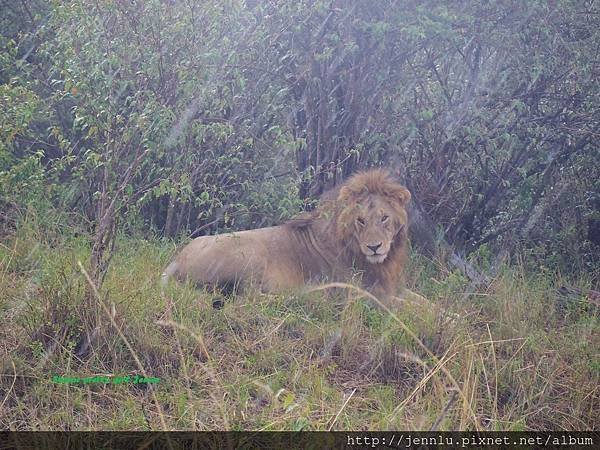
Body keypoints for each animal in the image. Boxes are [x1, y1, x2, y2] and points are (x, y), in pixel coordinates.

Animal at [163, 171, 412, 308]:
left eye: (384, 218)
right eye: (360, 220)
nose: (374, 247)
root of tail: (177, 259)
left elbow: (415, 297)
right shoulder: (360, 291)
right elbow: (408, 305)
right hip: (250, 252)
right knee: (248, 298)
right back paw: (303, 297)